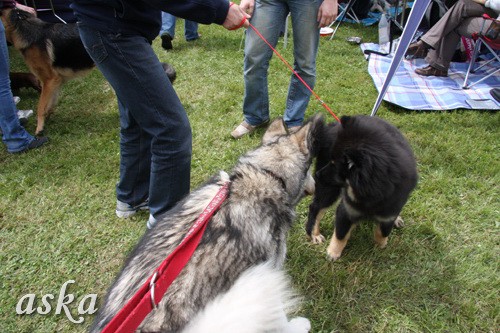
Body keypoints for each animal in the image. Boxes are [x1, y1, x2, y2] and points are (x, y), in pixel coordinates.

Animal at [90, 116, 324, 332]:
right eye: (310, 170)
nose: (317, 185)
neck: (267, 175)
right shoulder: (266, 273)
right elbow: (278, 315)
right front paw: (296, 326)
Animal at [306, 115, 416, 260]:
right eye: (331, 161)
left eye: (335, 165)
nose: (317, 175)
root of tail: (330, 127)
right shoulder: (347, 209)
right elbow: (341, 235)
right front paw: (332, 253)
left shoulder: (389, 211)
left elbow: (383, 232)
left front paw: (380, 248)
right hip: (330, 188)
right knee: (316, 207)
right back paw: (314, 234)